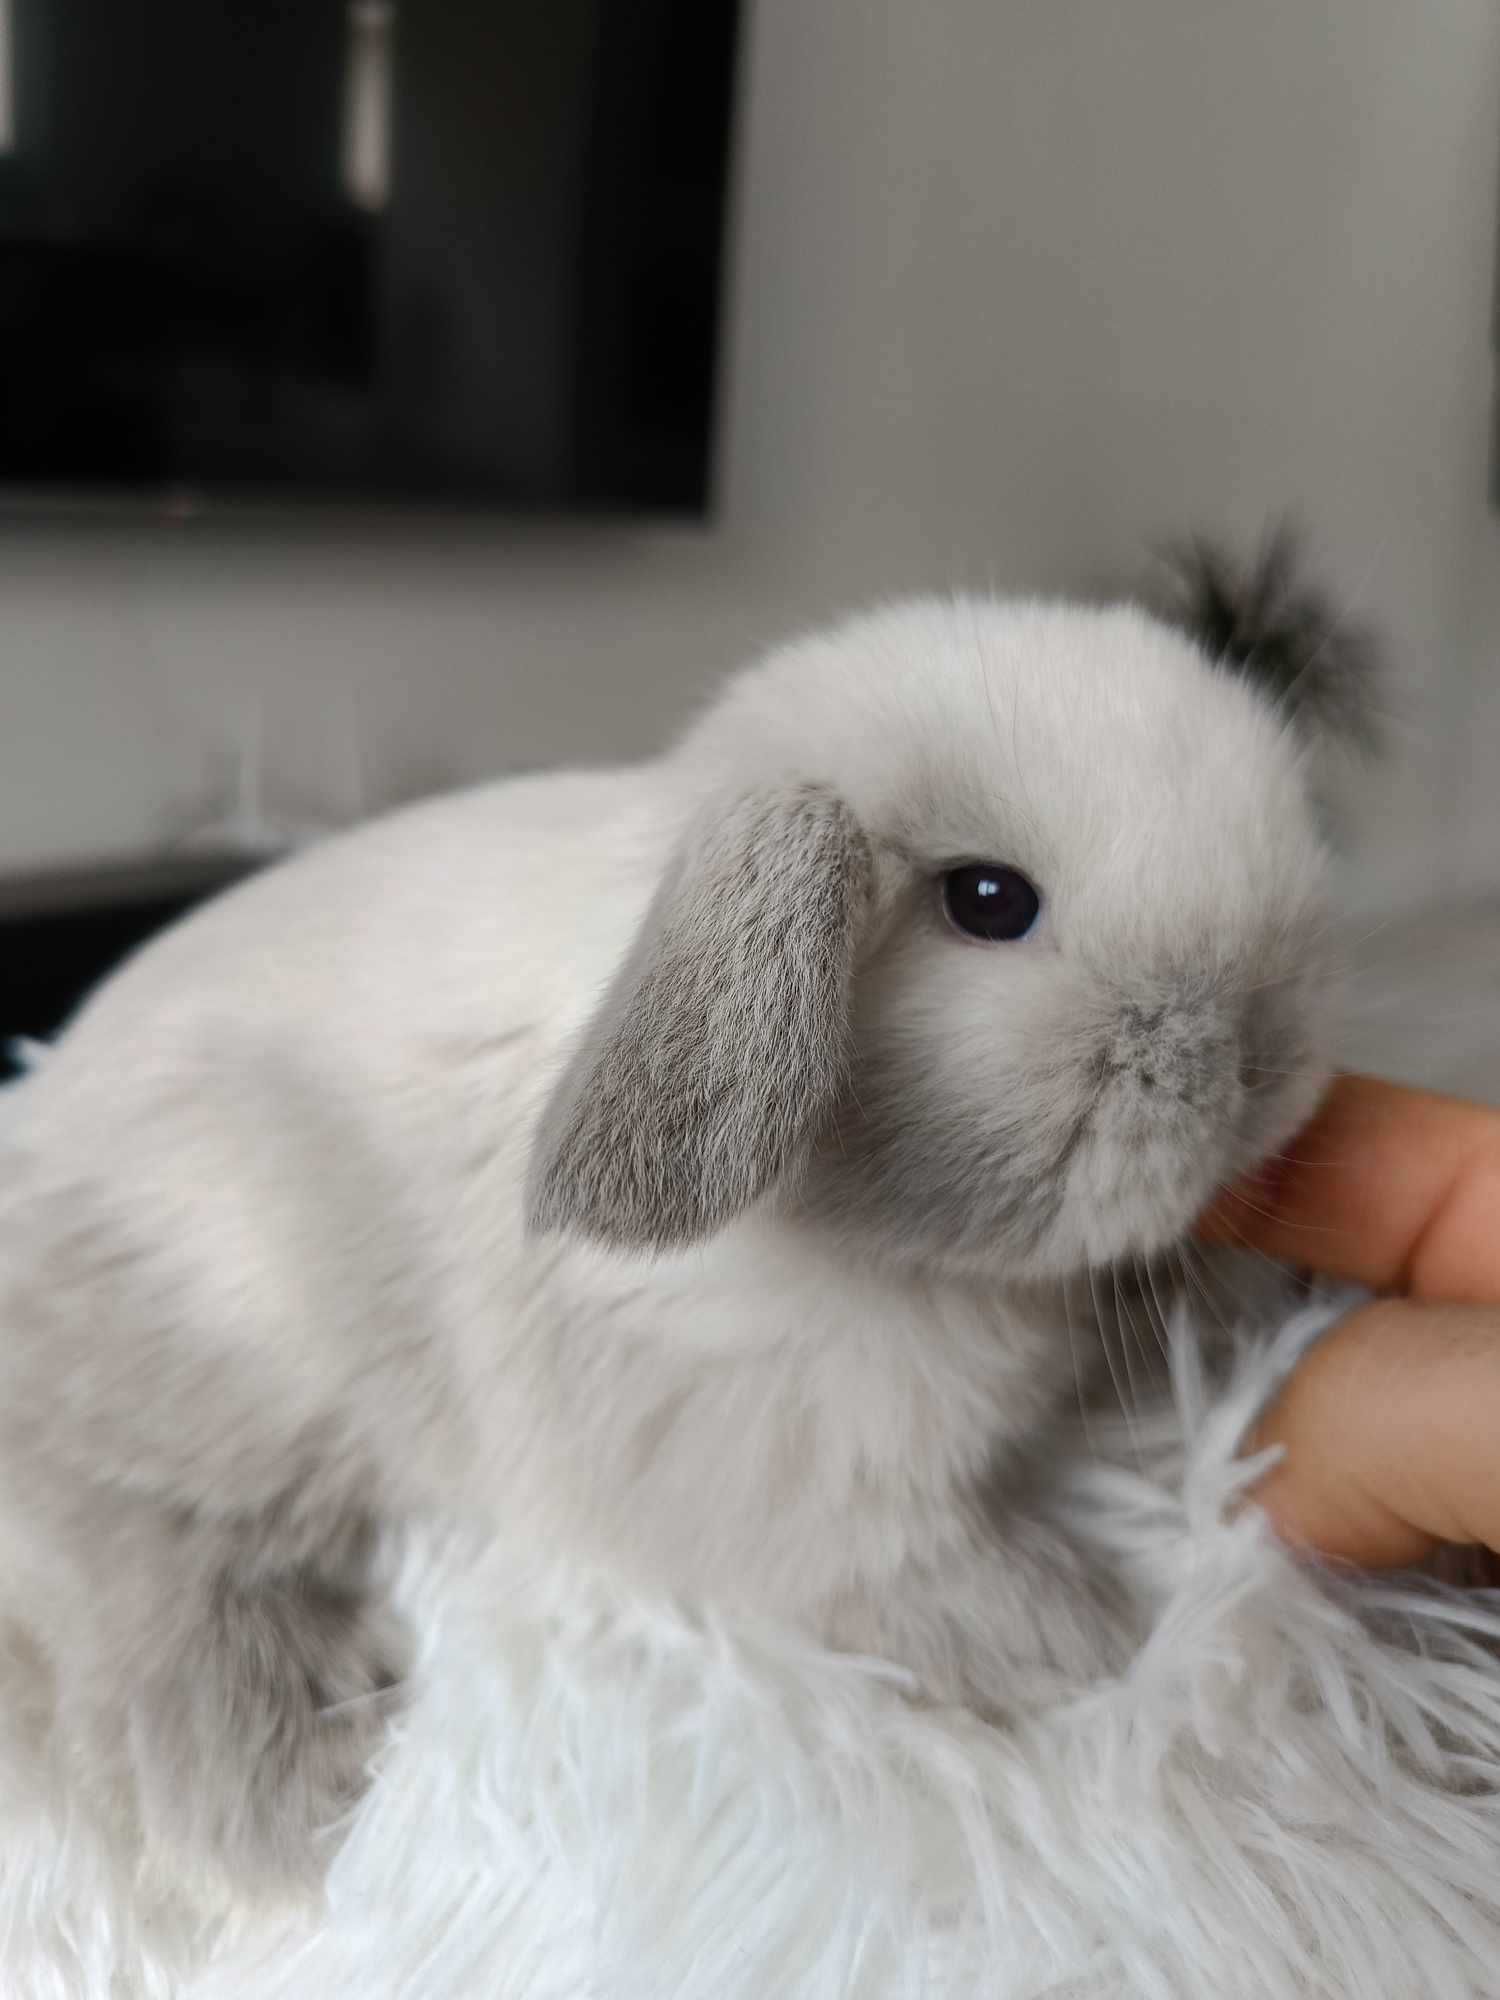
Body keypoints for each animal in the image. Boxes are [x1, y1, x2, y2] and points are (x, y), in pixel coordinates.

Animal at [0, 528, 1376, 1888]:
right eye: (989, 900)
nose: (1267, 1058)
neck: (901, 1257)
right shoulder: (800, 1469)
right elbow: (916, 1564)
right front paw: (1093, 1630)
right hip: (217, 1334)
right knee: (117, 1535)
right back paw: (291, 1785)